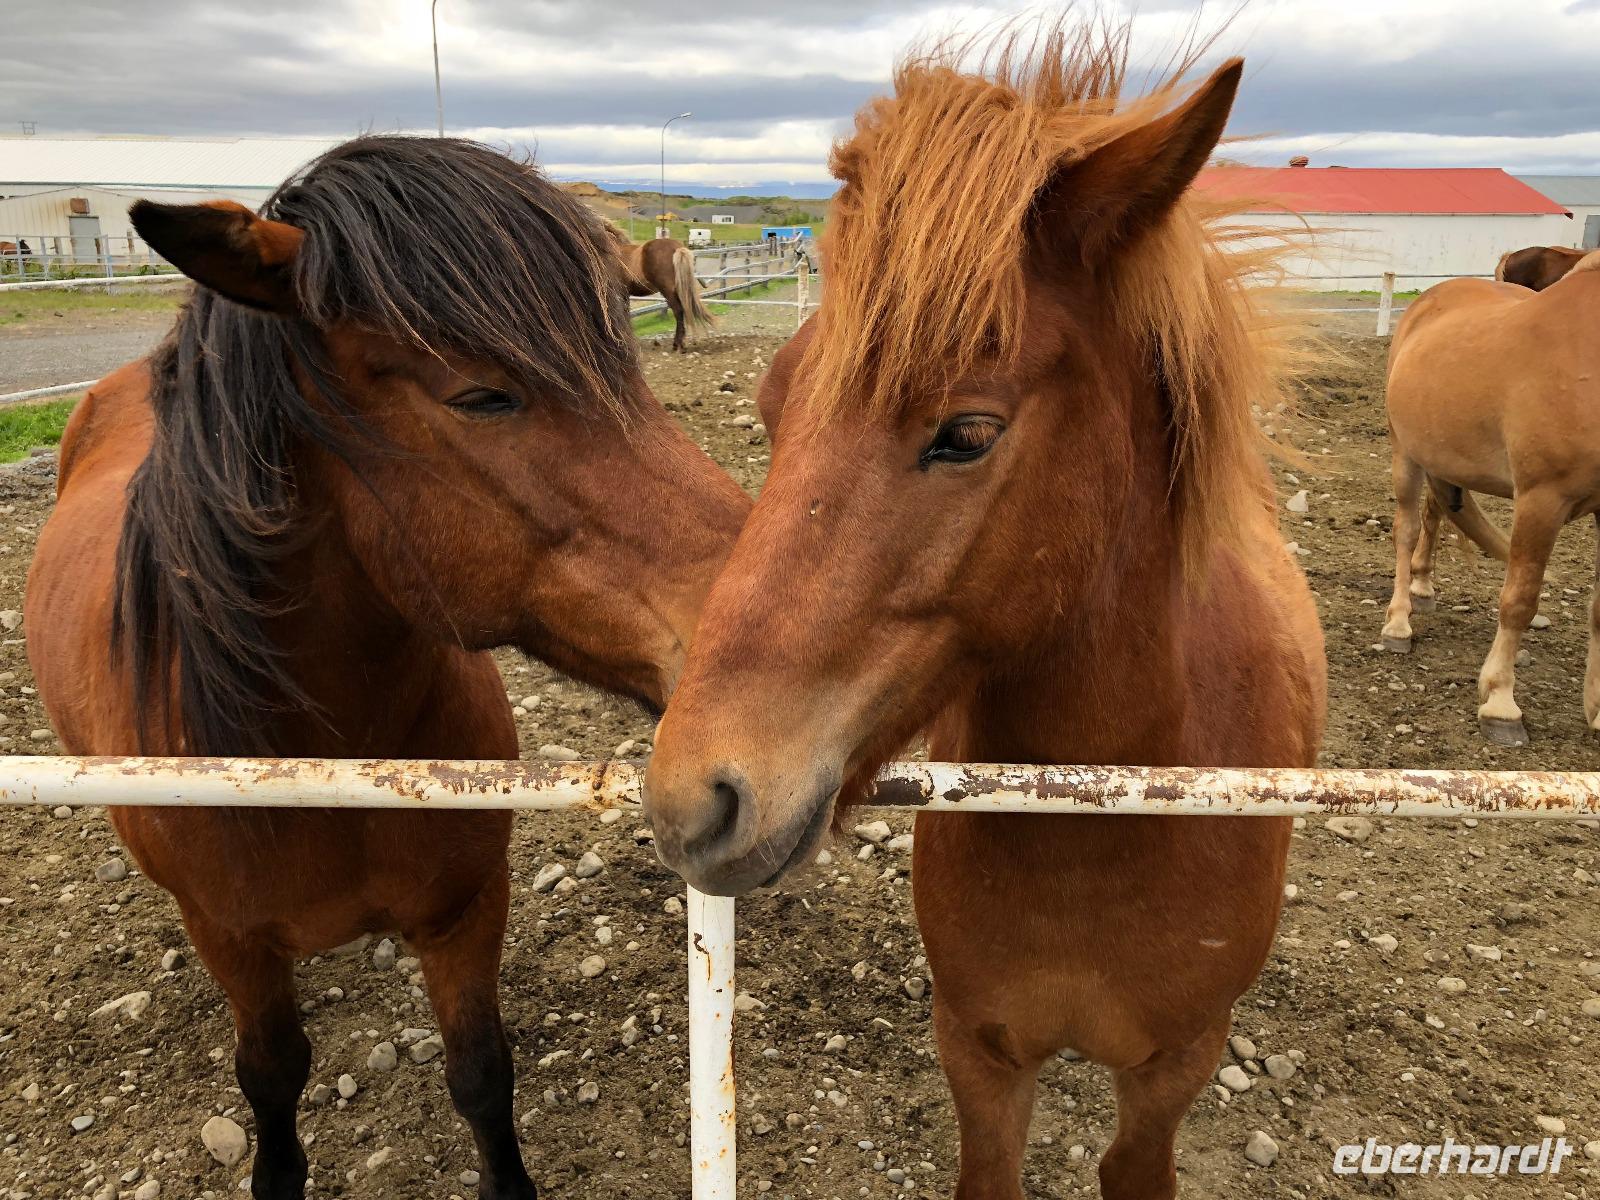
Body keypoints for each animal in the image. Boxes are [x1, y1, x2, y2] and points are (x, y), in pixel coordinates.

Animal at [25, 136, 749, 1199]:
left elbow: (482, 1073)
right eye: (481, 394)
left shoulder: (463, 910)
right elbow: (271, 1075)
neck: (325, 761)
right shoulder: (233, 941)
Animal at [644, 27, 1325, 1200]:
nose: (694, 800)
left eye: (965, 432)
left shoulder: (1171, 1071)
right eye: (772, 404)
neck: (1102, 821)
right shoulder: (979, 1050)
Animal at [1382, 250, 1600, 747]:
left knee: (1434, 515)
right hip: (1407, 453)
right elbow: (1519, 600)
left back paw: (1423, 587)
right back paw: (1399, 622)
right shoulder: (1542, 498)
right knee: (1406, 530)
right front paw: (1501, 703)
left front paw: (1598, 709)